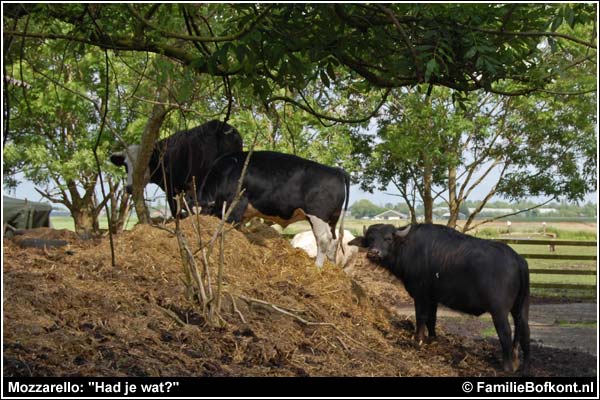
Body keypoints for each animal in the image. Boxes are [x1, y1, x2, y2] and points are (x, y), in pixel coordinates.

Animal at [197, 152, 350, 268]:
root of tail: (336, 170)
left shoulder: (236, 204)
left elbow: (231, 225)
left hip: (317, 215)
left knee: (323, 240)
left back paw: (317, 266)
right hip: (332, 219)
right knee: (333, 241)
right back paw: (332, 266)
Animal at [350, 223, 532, 374]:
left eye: (388, 239)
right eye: (370, 239)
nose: (373, 253)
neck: (408, 247)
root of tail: (517, 259)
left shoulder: (421, 295)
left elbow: (421, 316)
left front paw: (418, 339)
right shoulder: (433, 298)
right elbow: (432, 318)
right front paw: (432, 338)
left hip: (499, 311)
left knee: (506, 332)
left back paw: (508, 365)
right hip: (521, 308)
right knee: (524, 329)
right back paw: (524, 364)